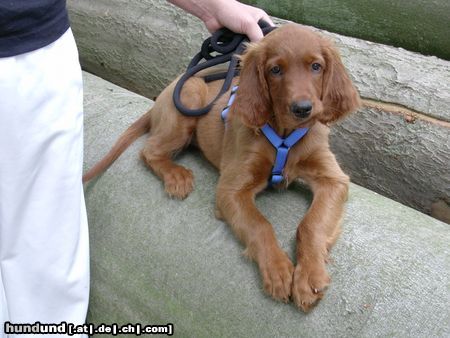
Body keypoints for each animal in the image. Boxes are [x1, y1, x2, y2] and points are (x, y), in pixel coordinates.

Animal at [83, 22, 358, 310]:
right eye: (275, 70)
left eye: (316, 66)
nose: (302, 109)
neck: (285, 133)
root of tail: (172, 86)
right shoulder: (231, 188)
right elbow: (260, 225)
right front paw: (278, 270)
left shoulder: (332, 178)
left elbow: (311, 224)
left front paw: (309, 277)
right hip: (189, 100)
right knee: (149, 150)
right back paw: (177, 177)